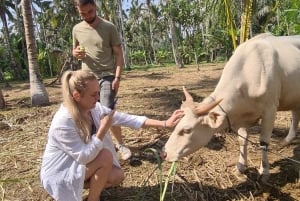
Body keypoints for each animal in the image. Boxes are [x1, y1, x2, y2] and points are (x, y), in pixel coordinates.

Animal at [163, 33, 300, 182]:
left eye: (187, 130)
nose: (164, 153)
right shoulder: (242, 118)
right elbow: (242, 139)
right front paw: (241, 166)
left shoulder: (270, 109)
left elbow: (263, 142)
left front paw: (264, 171)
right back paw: (286, 141)